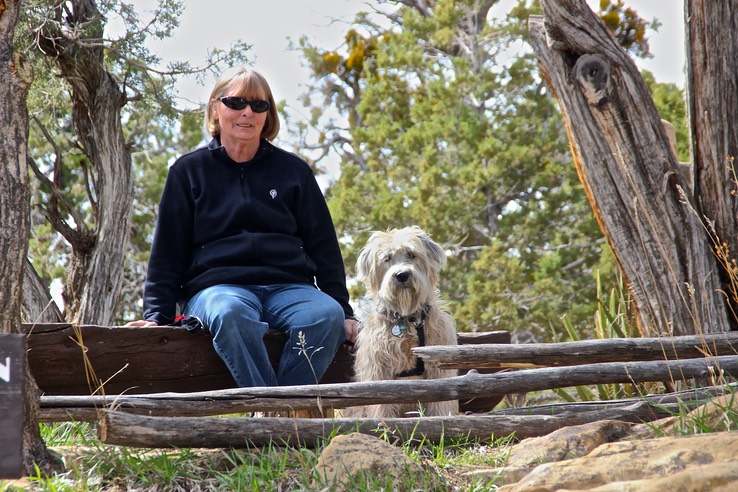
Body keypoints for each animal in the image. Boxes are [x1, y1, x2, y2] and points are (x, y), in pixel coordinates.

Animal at [344, 225, 454, 418]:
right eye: (387, 258)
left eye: (411, 254)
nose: (402, 275)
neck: (407, 318)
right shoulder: (378, 369)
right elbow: (381, 406)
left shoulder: (439, 367)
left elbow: (442, 401)